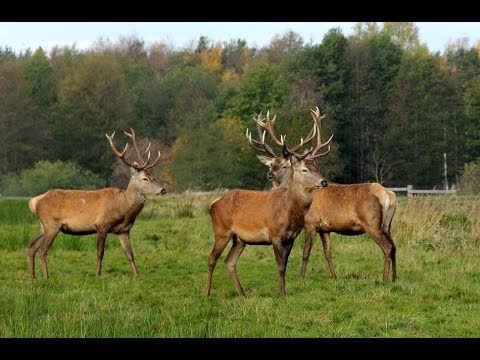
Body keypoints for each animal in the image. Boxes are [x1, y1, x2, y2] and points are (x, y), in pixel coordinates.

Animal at [29, 129, 167, 278]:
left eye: (153, 176)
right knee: (42, 249)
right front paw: (97, 275)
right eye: (145, 178)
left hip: (43, 226)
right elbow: (100, 253)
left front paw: (136, 275)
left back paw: (32, 276)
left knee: (32, 246)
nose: (163, 189)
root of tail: (35, 201)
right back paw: (46, 277)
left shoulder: (124, 230)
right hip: (51, 224)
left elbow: (130, 254)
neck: (122, 207)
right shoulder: (101, 225)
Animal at [204, 109, 332, 298]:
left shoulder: (291, 237)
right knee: (212, 257)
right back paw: (206, 292)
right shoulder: (274, 234)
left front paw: (283, 291)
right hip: (221, 231)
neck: (289, 212)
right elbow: (280, 266)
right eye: (304, 169)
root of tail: (214, 203)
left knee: (229, 261)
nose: (324, 182)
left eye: (318, 168)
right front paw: (280, 294)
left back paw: (242, 293)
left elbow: (285, 265)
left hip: (240, 238)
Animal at [251, 107, 398, 282]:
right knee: (394, 246)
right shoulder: (325, 228)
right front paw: (334, 276)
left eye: (284, 166)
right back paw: (395, 278)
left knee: (387, 247)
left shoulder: (311, 222)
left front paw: (301, 277)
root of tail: (389, 195)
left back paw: (384, 279)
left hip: (372, 222)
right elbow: (328, 252)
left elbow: (306, 252)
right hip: (387, 224)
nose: (270, 175)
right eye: (271, 164)